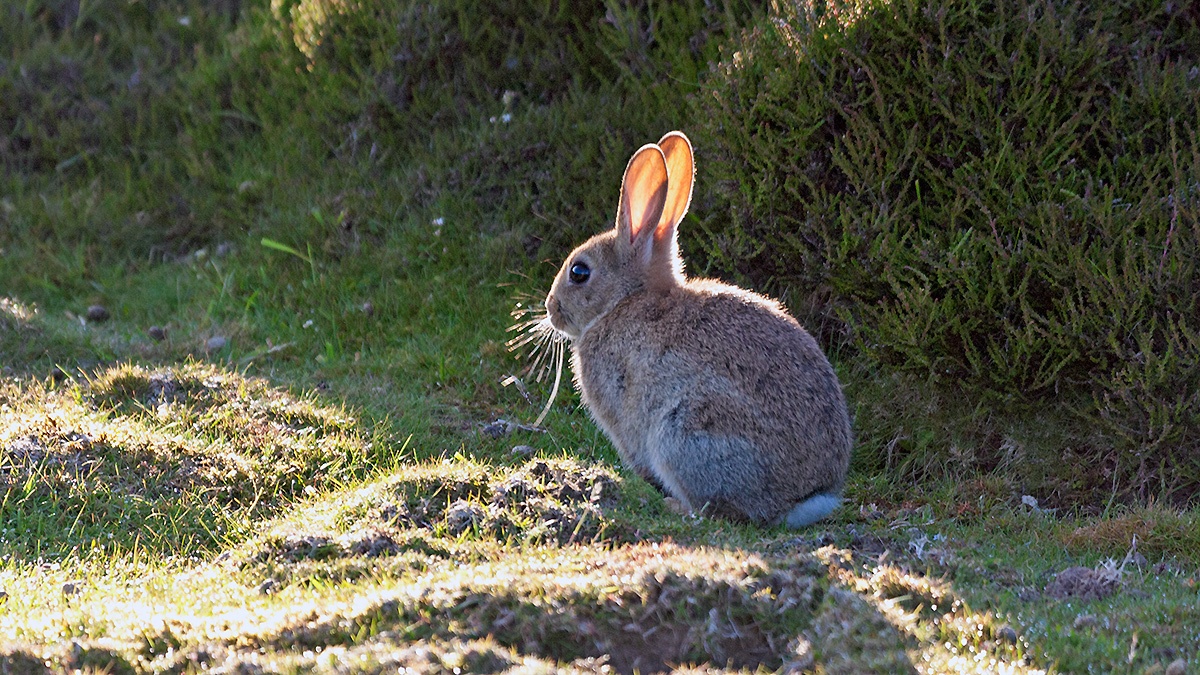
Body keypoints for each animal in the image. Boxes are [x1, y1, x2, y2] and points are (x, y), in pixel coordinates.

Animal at [542, 131, 852, 528]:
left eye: (579, 272)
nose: (551, 309)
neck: (626, 301)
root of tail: (805, 500)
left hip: (683, 431)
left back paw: (672, 505)